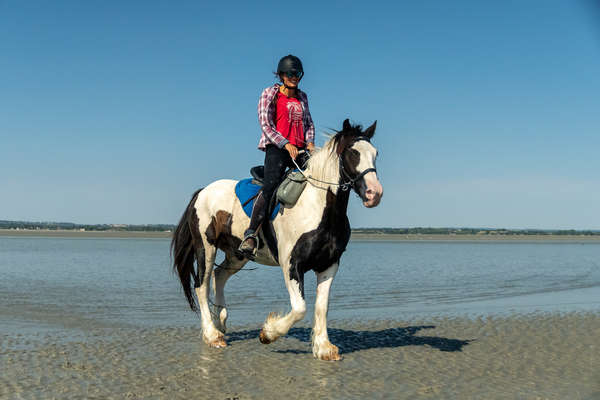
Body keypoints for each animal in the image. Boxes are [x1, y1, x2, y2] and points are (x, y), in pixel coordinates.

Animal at [171, 118, 382, 360]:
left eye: (375, 153)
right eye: (353, 153)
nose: (374, 194)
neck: (319, 207)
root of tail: (202, 192)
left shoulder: (329, 264)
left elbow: (322, 306)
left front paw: (324, 348)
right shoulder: (291, 264)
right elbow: (300, 308)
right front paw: (268, 333)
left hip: (237, 253)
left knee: (219, 275)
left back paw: (221, 321)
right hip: (206, 248)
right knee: (201, 285)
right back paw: (212, 335)